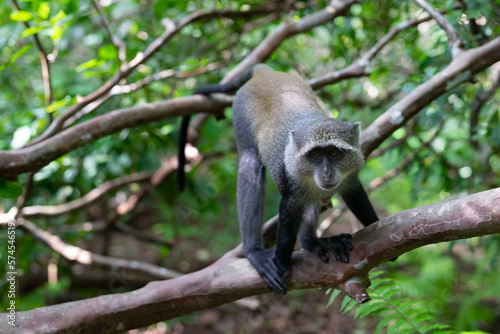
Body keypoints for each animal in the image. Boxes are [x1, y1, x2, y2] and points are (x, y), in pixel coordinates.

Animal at [178, 64, 376, 294]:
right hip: (241, 115)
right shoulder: (290, 185)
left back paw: (312, 241)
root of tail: (263, 71)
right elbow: (288, 212)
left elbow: (354, 194)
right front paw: (281, 263)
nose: (326, 173)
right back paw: (253, 250)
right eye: (315, 154)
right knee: (250, 163)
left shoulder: (349, 178)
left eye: (334, 152)